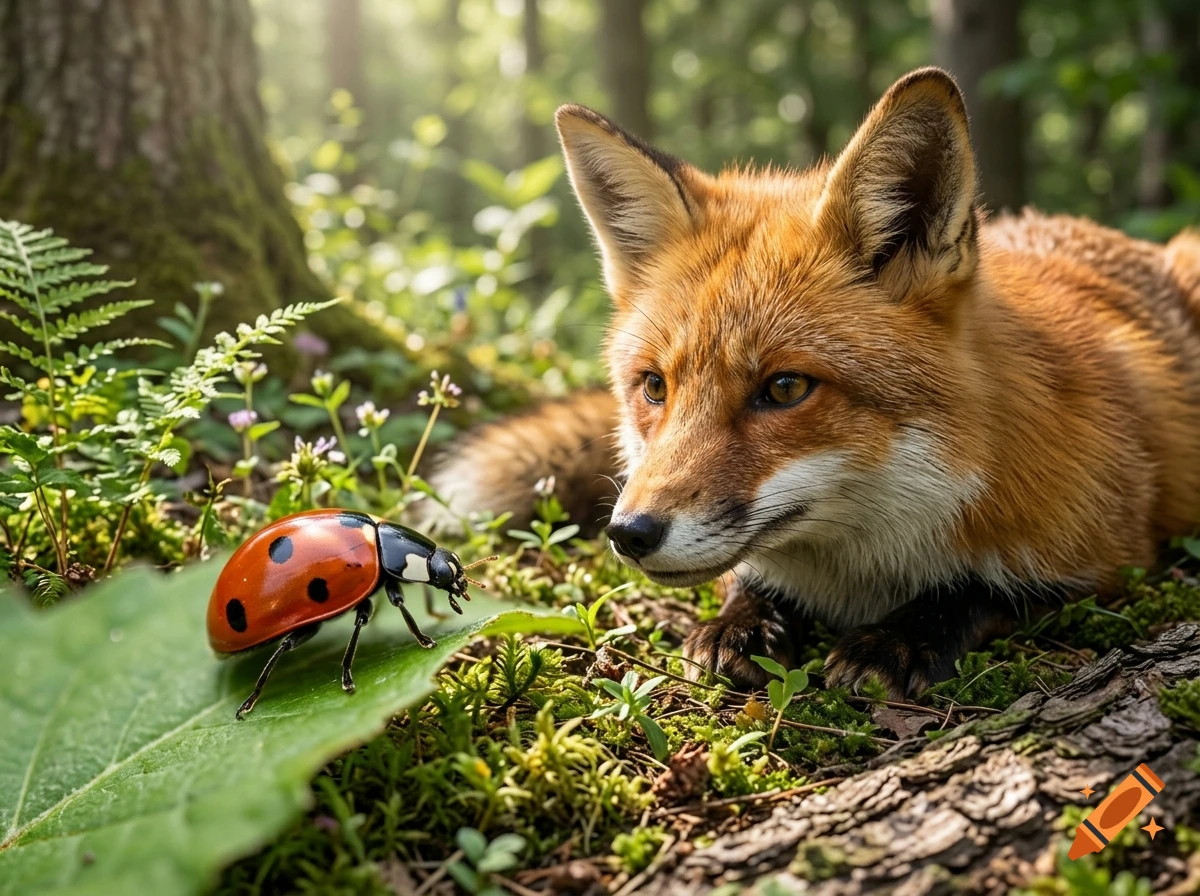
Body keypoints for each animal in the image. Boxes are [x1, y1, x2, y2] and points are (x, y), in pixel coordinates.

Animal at [426, 67, 1200, 698]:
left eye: (786, 389)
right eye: (654, 387)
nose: (629, 533)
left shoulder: (1111, 555)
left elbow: (983, 591)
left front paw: (900, 636)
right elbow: (749, 578)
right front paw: (744, 619)